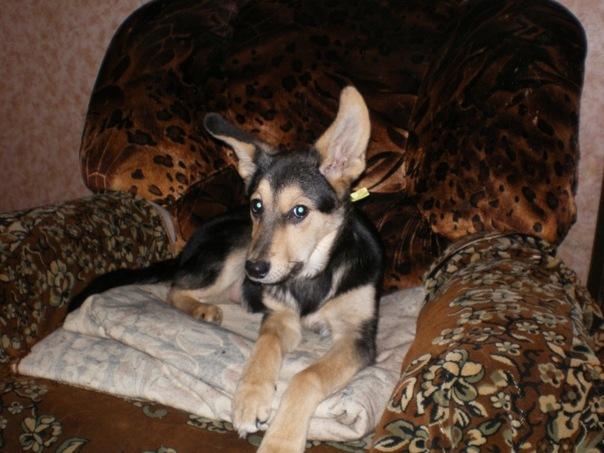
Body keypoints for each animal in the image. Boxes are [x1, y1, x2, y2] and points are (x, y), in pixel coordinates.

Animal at [72, 86, 383, 453]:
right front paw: (250, 396)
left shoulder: (357, 338)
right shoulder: (279, 316)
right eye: (256, 206)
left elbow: (308, 375)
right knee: (176, 287)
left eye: (299, 211)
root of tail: (187, 246)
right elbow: (265, 345)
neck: (311, 275)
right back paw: (202, 309)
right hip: (234, 249)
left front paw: (280, 440)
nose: (256, 270)